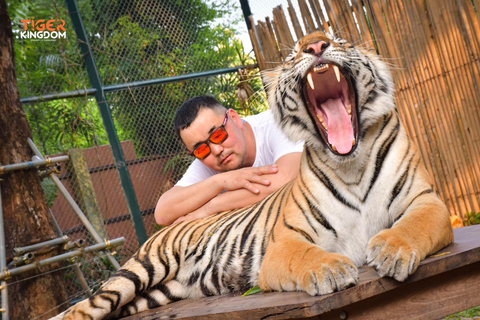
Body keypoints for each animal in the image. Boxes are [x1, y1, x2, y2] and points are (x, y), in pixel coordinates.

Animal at [52, 30, 454, 320]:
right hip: (140, 269)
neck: (349, 164)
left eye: (339, 40)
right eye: (293, 54)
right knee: (85, 307)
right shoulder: (285, 240)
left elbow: (413, 225)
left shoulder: (426, 200)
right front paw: (332, 269)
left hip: (156, 294)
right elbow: (307, 255)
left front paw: (392, 250)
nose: (316, 45)